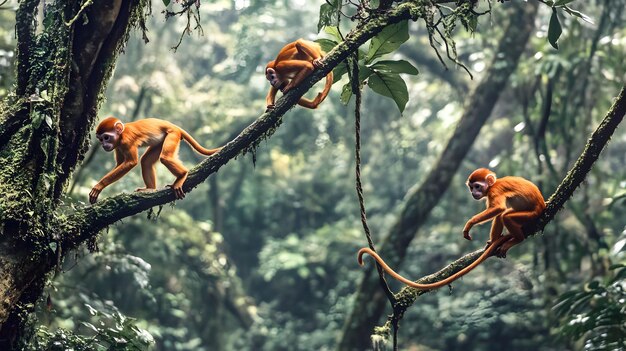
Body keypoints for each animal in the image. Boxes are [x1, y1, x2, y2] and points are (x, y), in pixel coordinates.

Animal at [89, 117, 221, 204]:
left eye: (106, 137)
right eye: (101, 139)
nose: (104, 145)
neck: (121, 134)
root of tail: (174, 126)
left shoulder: (127, 141)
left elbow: (131, 162)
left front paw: (98, 186)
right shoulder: (117, 146)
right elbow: (121, 163)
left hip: (173, 135)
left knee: (165, 158)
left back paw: (182, 175)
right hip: (161, 141)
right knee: (146, 161)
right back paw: (150, 189)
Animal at [358, 169, 544, 290]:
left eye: (477, 186)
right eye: (471, 187)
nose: (473, 193)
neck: (493, 185)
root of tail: (542, 205)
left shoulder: (495, 191)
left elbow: (498, 208)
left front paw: (469, 224)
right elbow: (497, 211)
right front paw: (491, 240)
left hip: (530, 215)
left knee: (505, 215)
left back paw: (516, 239)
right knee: (502, 215)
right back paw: (496, 241)